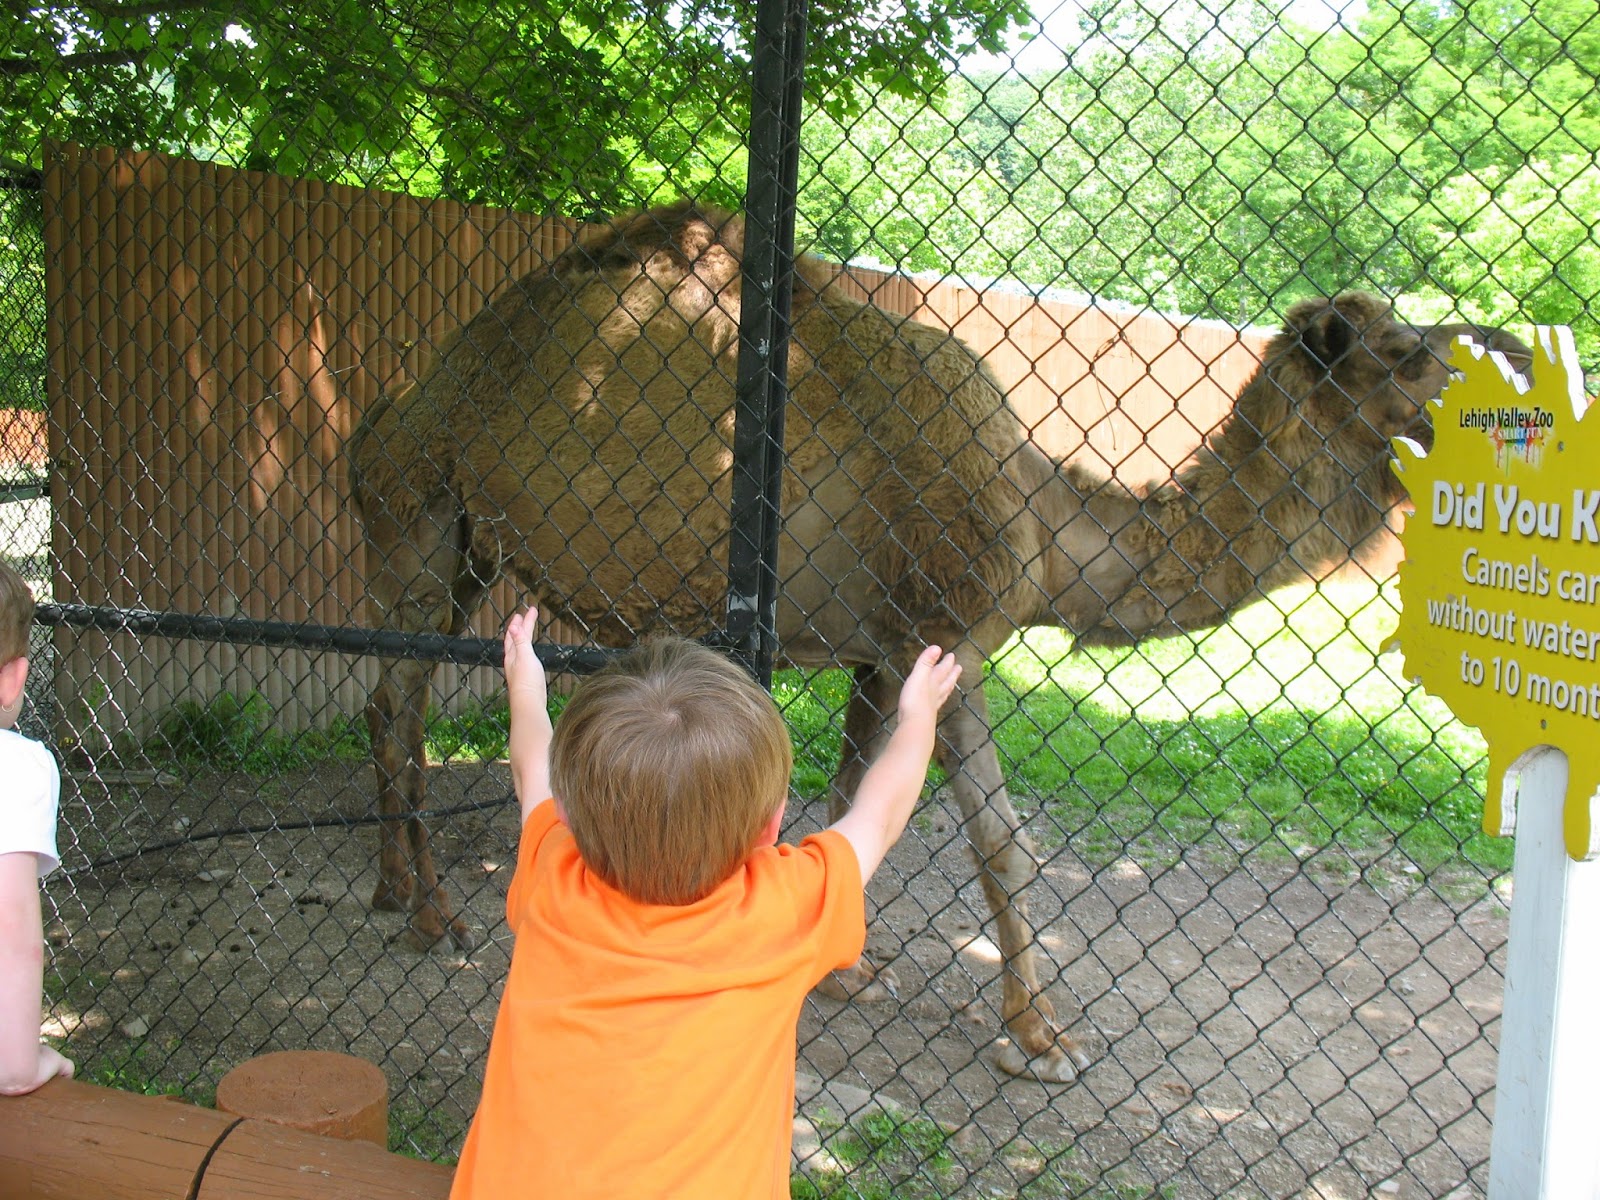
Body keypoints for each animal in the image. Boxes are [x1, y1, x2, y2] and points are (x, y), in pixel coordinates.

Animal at [347, 200, 1523, 1088]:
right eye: (1406, 353)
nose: (1518, 366)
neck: (1041, 522)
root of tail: (387, 410)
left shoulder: (875, 648)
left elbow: (845, 800)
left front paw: (843, 972)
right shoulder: (943, 631)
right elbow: (999, 838)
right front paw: (1042, 1040)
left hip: (464, 553)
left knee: (391, 701)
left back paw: (394, 892)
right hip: (419, 522)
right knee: (396, 703)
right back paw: (434, 918)